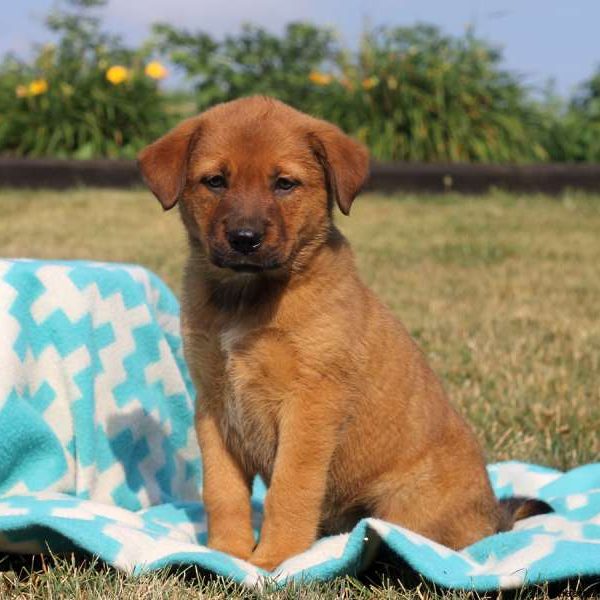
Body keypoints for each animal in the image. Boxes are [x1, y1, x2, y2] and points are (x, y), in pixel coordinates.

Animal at [138, 96, 552, 568]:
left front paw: (273, 559)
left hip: (404, 506)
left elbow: (290, 491)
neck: (247, 299)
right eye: (215, 182)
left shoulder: (310, 405)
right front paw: (227, 553)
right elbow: (222, 490)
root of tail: (492, 517)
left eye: (284, 184)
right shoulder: (215, 404)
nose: (245, 238)